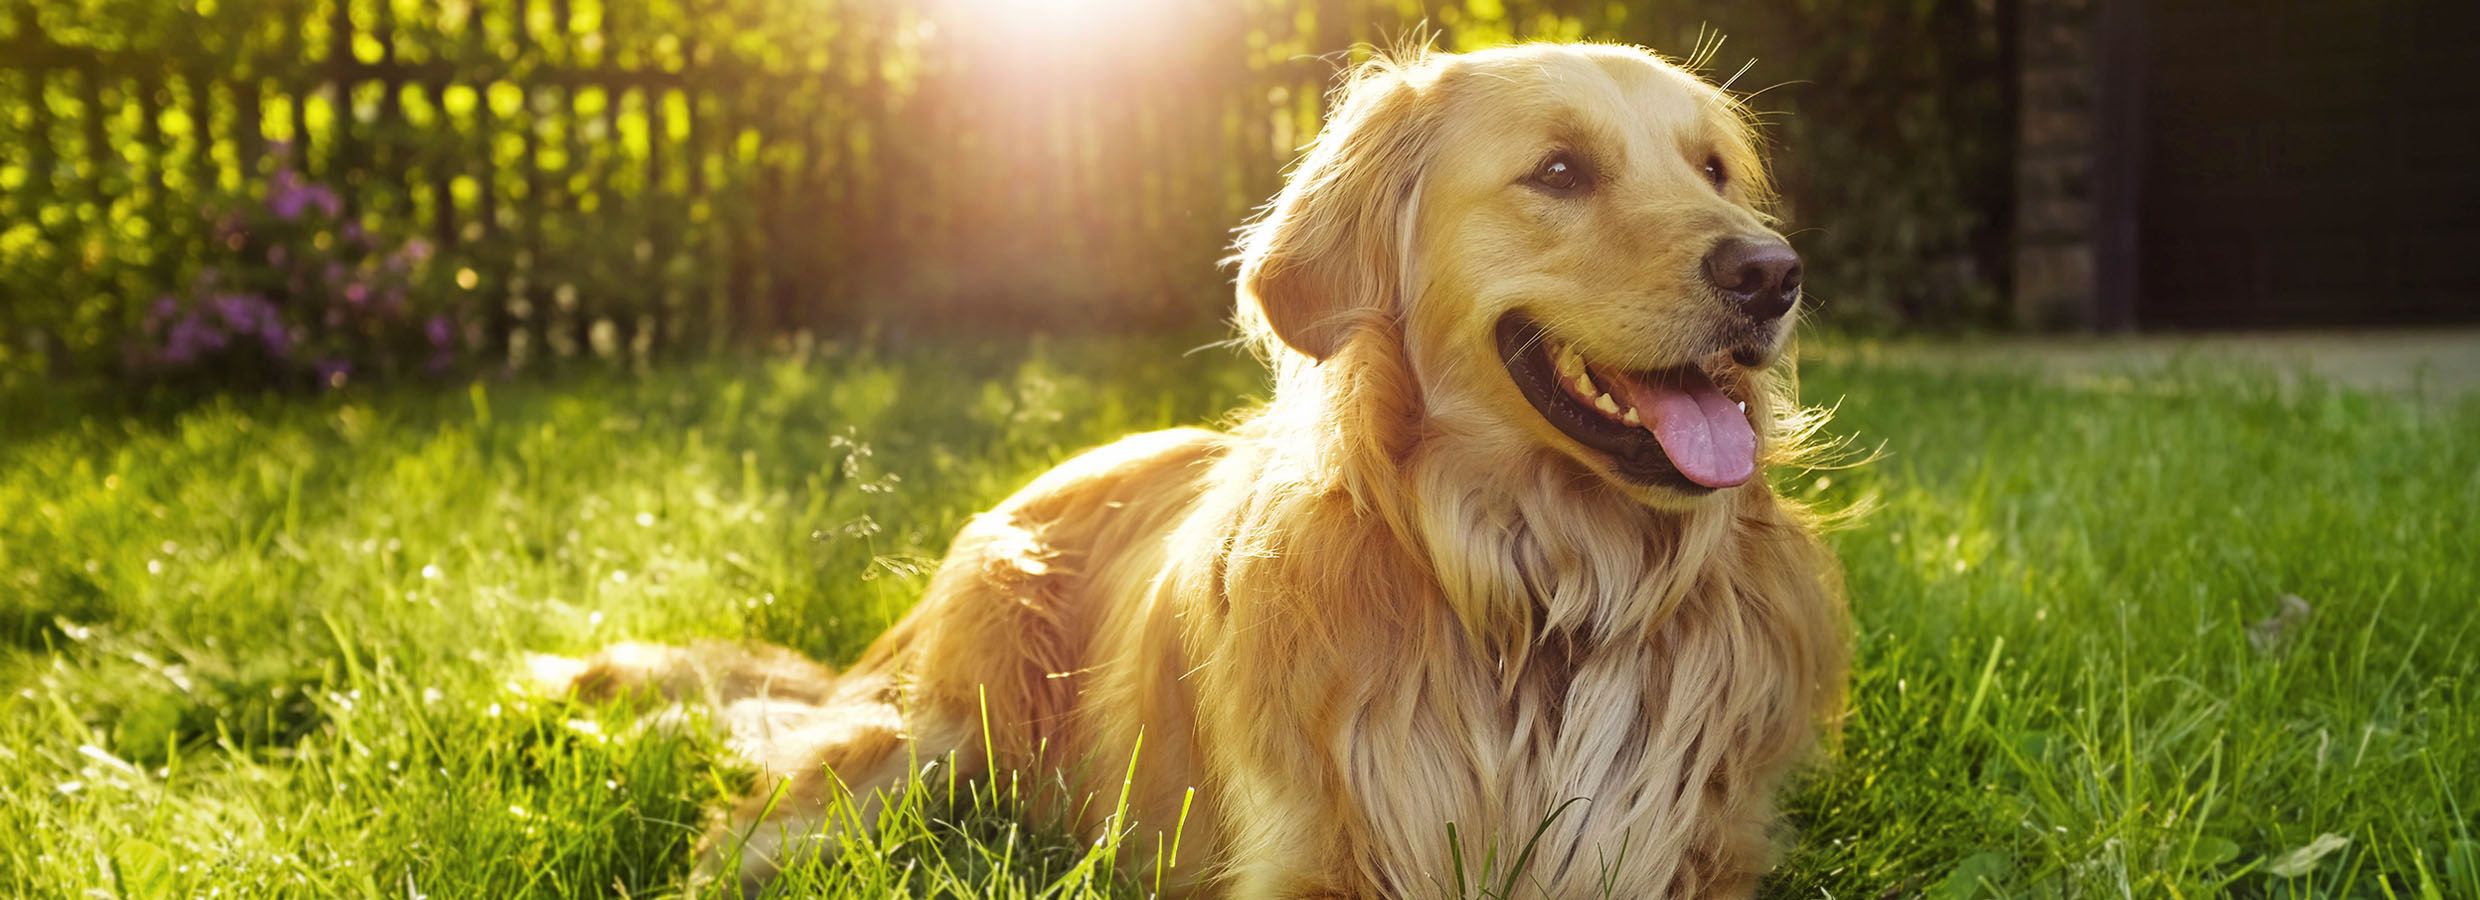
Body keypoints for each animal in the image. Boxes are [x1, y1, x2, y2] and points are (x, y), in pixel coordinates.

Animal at [553, 44, 1855, 900]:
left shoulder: (1712, 852)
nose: (1772, 275)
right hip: (939, 734)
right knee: (758, 828)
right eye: (1559, 172)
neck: (1542, 601)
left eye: (1713, 171)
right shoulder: (1307, 857)